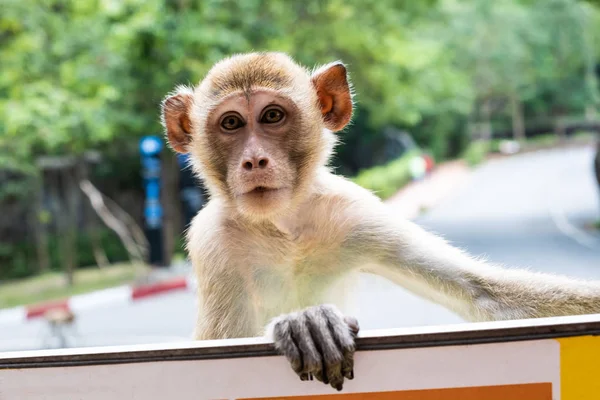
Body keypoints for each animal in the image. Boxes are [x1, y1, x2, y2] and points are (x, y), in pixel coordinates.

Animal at [161, 51, 600, 392]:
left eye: (272, 116)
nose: (254, 160)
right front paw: (304, 323)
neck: (284, 226)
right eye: (231, 123)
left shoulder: (355, 213)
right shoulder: (213, 241)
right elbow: (221, 342)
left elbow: (482, 293)